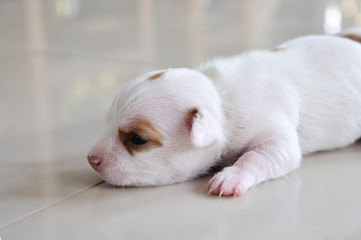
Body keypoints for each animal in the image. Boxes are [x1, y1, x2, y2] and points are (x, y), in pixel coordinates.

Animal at [86, 29, 360, 197]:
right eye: (105, 121)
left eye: (138, 139)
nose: (91, 159)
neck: (222, 98)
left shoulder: (276, 136)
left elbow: (257, 156)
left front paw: (231, 177)